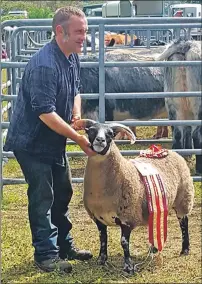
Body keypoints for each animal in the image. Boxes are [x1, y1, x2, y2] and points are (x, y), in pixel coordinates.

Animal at [73, 118, 195, 276]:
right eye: (91, 131)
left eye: (110, 134)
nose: (100, 140)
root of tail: (172, 152)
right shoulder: (98, 218)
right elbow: (103, 238)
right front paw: (101, 260)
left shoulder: (127, 217)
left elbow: (124, 242)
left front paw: (128, 267)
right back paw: (153, 249)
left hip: (184, 198)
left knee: (184, 223)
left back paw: (185, 249)